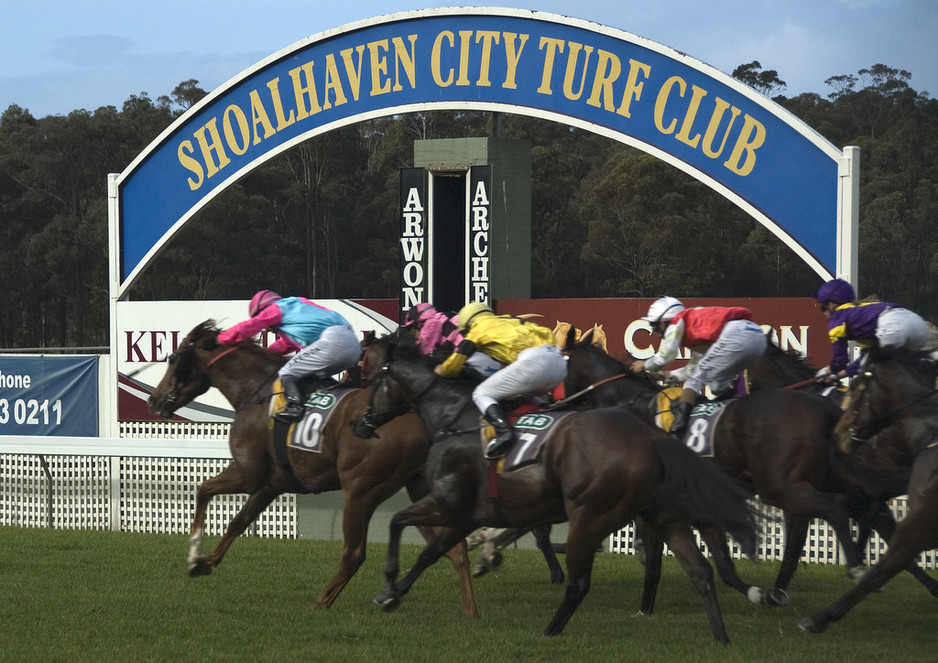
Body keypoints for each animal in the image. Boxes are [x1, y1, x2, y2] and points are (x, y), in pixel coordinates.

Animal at [150, 320, 482, 616]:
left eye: (173, 359)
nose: (155, 400)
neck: (256, 392)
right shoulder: (271, 484)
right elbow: (238, 523)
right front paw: (205, 563)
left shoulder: (249, 473)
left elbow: (203, 490)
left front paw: (194, 554)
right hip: (421, 487)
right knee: (454, 550)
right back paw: (470, 612)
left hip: (361, 491)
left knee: (355, 553)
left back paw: (322, 601)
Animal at [348, 332, 756, 644]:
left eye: (368, 379)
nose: (359, 424)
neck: (455, 416)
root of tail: (651, 442)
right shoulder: (466, 512)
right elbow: (429, 554)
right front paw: (393, 594)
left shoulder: (448, 502)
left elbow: (398, 522)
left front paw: (390, 580)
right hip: (661, 513)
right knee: (702, 571)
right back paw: (722, 635)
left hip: (590, 517)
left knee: (580, 583)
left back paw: (551, 631)